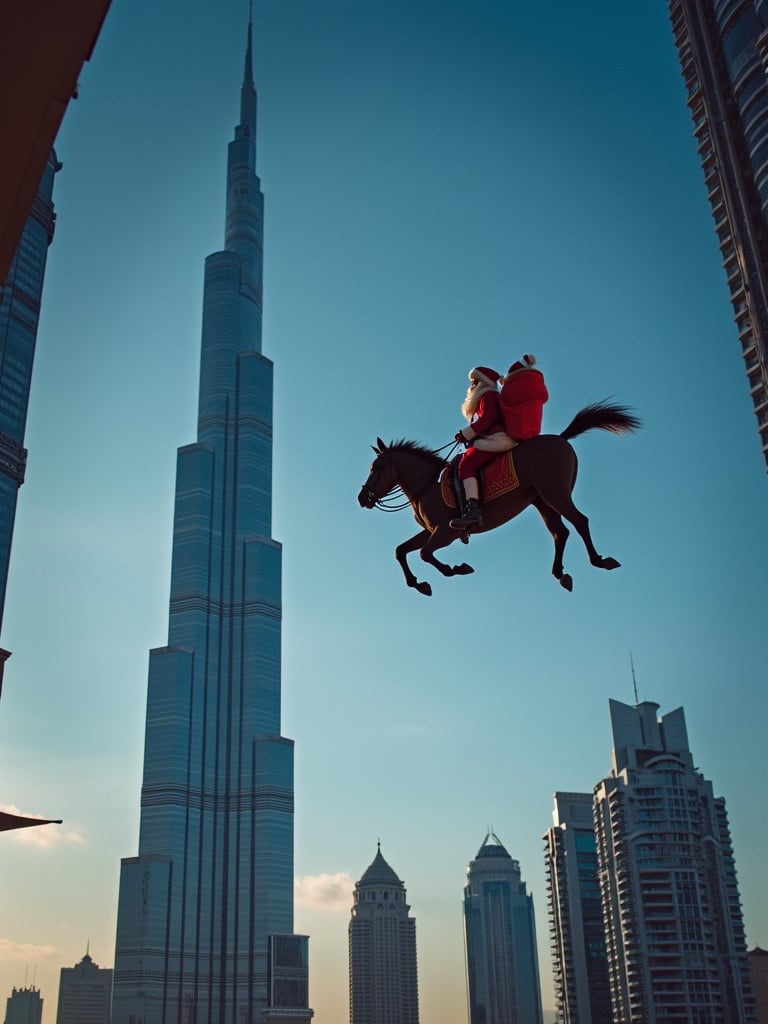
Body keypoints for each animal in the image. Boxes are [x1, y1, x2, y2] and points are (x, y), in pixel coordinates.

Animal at [358, 397, 638, 598]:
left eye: (376, 467)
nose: (362, 497)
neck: (428, 486)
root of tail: (560, 438)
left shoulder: (445, 532)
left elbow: (425, 554)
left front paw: (455, 569)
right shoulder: (431, 530)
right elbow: (401, 551)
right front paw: (418, 583)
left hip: (555, 493)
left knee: (580, 521)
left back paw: (600, 560)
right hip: (541, 500)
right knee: (560, 532)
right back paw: (560, 574)